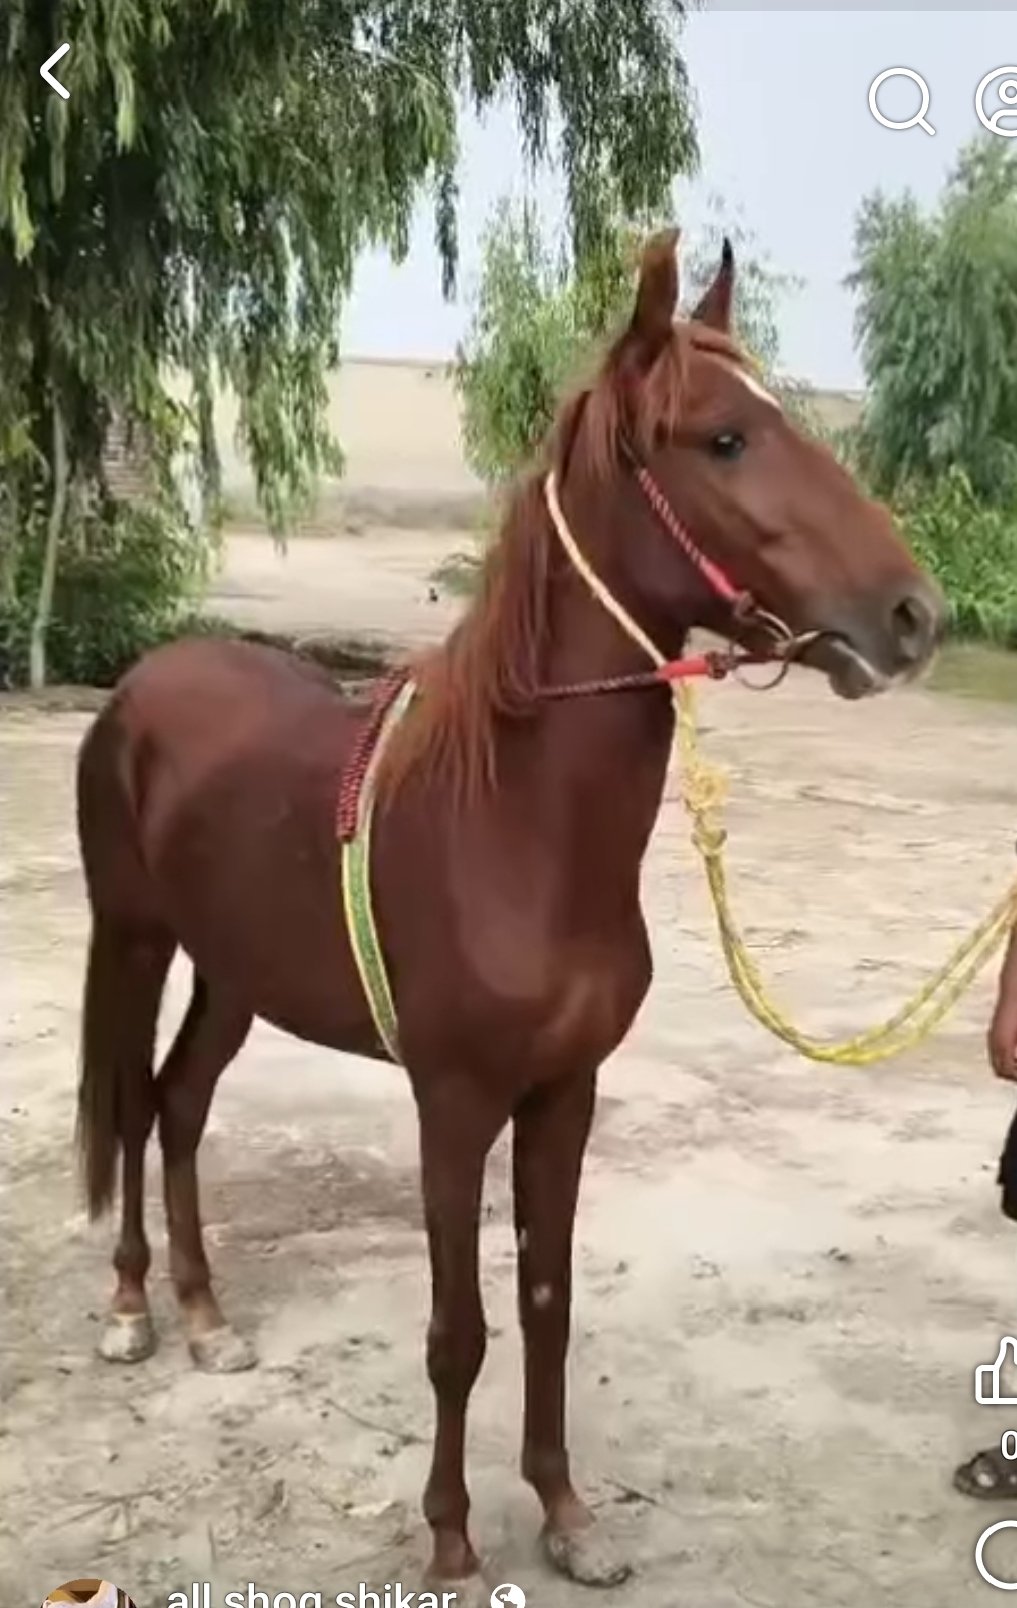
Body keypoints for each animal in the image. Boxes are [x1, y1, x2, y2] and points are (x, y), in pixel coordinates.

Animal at [74, 229, 945, 1599]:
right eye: (724, 439)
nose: (912, 617)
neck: (519, 830)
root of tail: (146, 682)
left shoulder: (565, 1092)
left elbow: (546, 1303)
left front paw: (568, 1516)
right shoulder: (455, 1102)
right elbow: (457, 1328)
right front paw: (449, 1536)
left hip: (236, 974)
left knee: (178, 1104)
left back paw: (209, 1321)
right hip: (135, 938)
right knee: (125, 1097)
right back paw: (130, 1314)